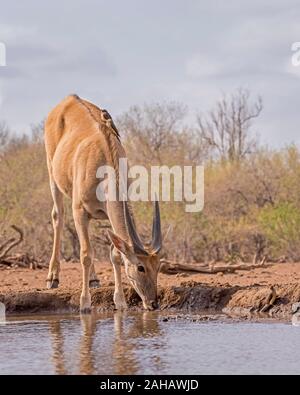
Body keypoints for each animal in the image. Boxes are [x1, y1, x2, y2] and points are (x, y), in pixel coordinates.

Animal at [43, 95, 163, 312]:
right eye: (140, 267)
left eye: (158, 266)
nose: (153, 303)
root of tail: (68, 98)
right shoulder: (79, 211)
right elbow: (85, 255)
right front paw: (84, 303)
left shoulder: (107, 212)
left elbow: (114, 254)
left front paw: (120, 302)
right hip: (52, 174)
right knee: (58, 216)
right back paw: (53, 277)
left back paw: (93, 280)